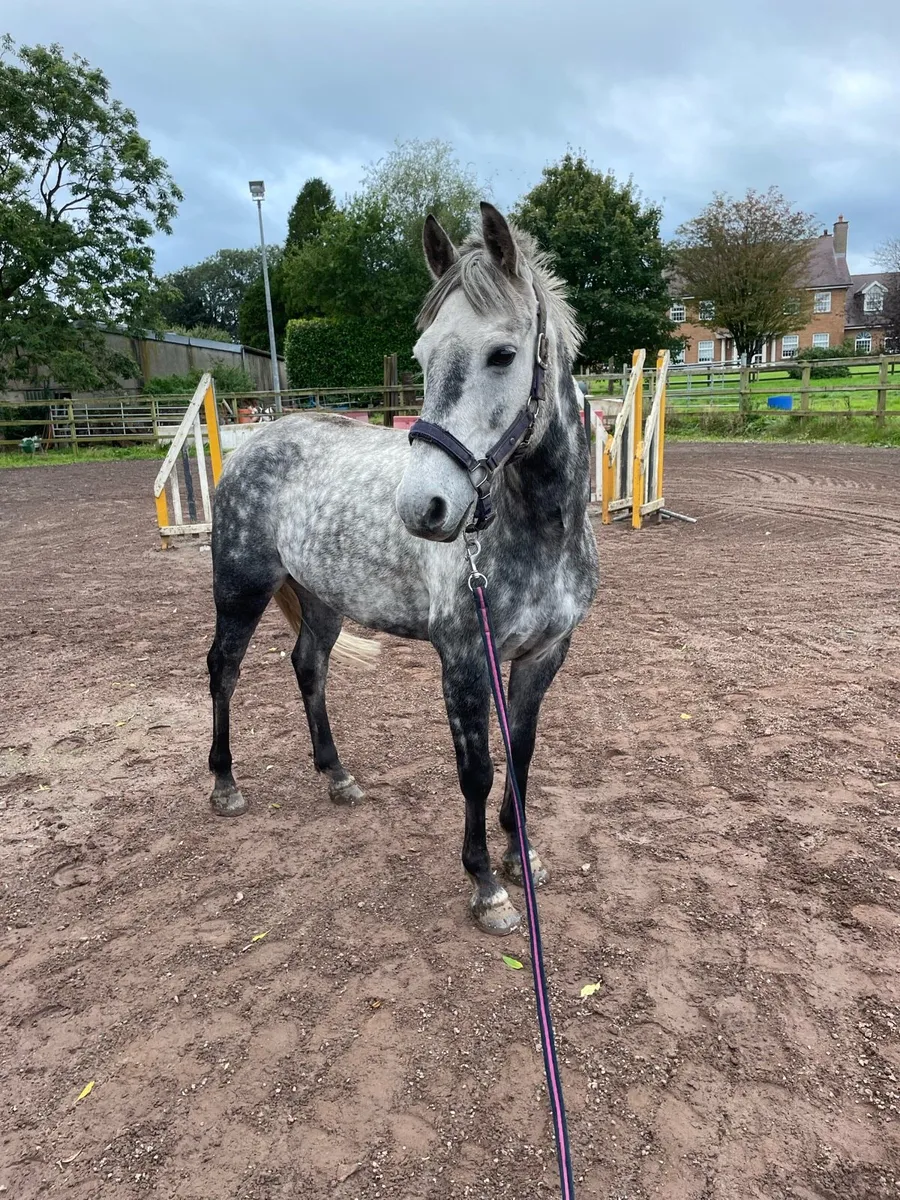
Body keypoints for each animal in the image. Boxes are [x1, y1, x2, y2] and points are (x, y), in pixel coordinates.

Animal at [206, 202, 599, 935]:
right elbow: (477, 770)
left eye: (503, 354)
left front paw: (521, 858)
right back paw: (224, 783)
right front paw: (486, 887)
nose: (425, 508)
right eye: (419, 356)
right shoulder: (464, 656)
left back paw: (337, 776)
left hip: (322, 598)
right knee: (225, 669)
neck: (540, 533)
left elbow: (522, 757)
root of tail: (258, 439)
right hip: (240, 586)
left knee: (308, 666)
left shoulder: (544, 655)